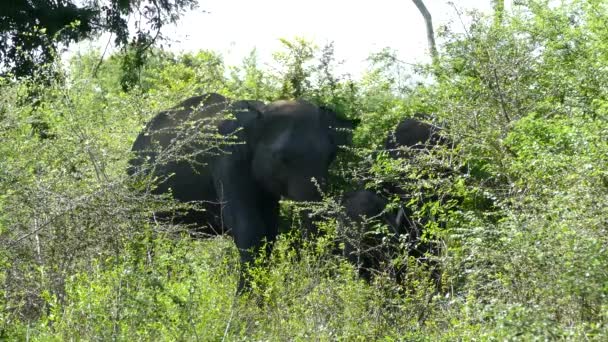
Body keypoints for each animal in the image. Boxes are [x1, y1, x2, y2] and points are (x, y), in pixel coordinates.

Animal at [130, 92, 354, 288]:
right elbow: (248, 228)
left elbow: (269, 232)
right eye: (282, 158)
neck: (260, 114)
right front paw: (244, 307)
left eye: (331, 155)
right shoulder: (227, 159)